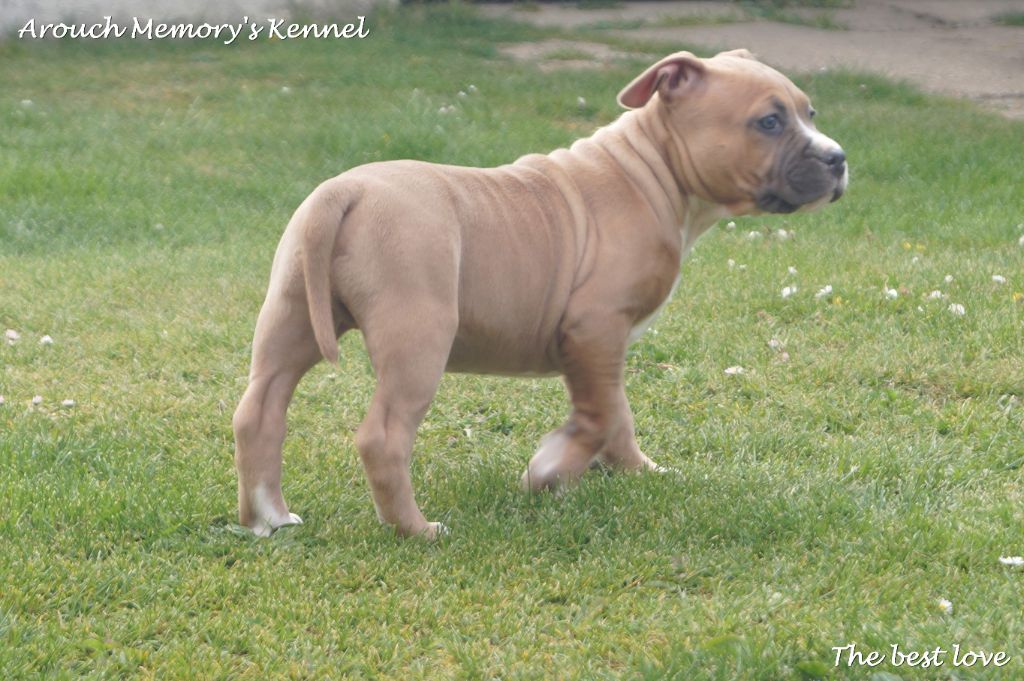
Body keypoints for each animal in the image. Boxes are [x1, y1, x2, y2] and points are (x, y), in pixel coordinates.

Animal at [232, 49, 848, 538]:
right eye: (769, 121)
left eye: (810, 113)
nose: (838, 158)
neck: (653, 169)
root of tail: (344, 192)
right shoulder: (594, 327)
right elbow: (598, 416)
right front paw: (551, 470)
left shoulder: (604, 345)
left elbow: (617, 412)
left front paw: (636, 470)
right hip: (419, 337)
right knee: (382, 437)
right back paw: (416, 529)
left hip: (290, 318)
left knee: (259, 411)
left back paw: (268, 519)